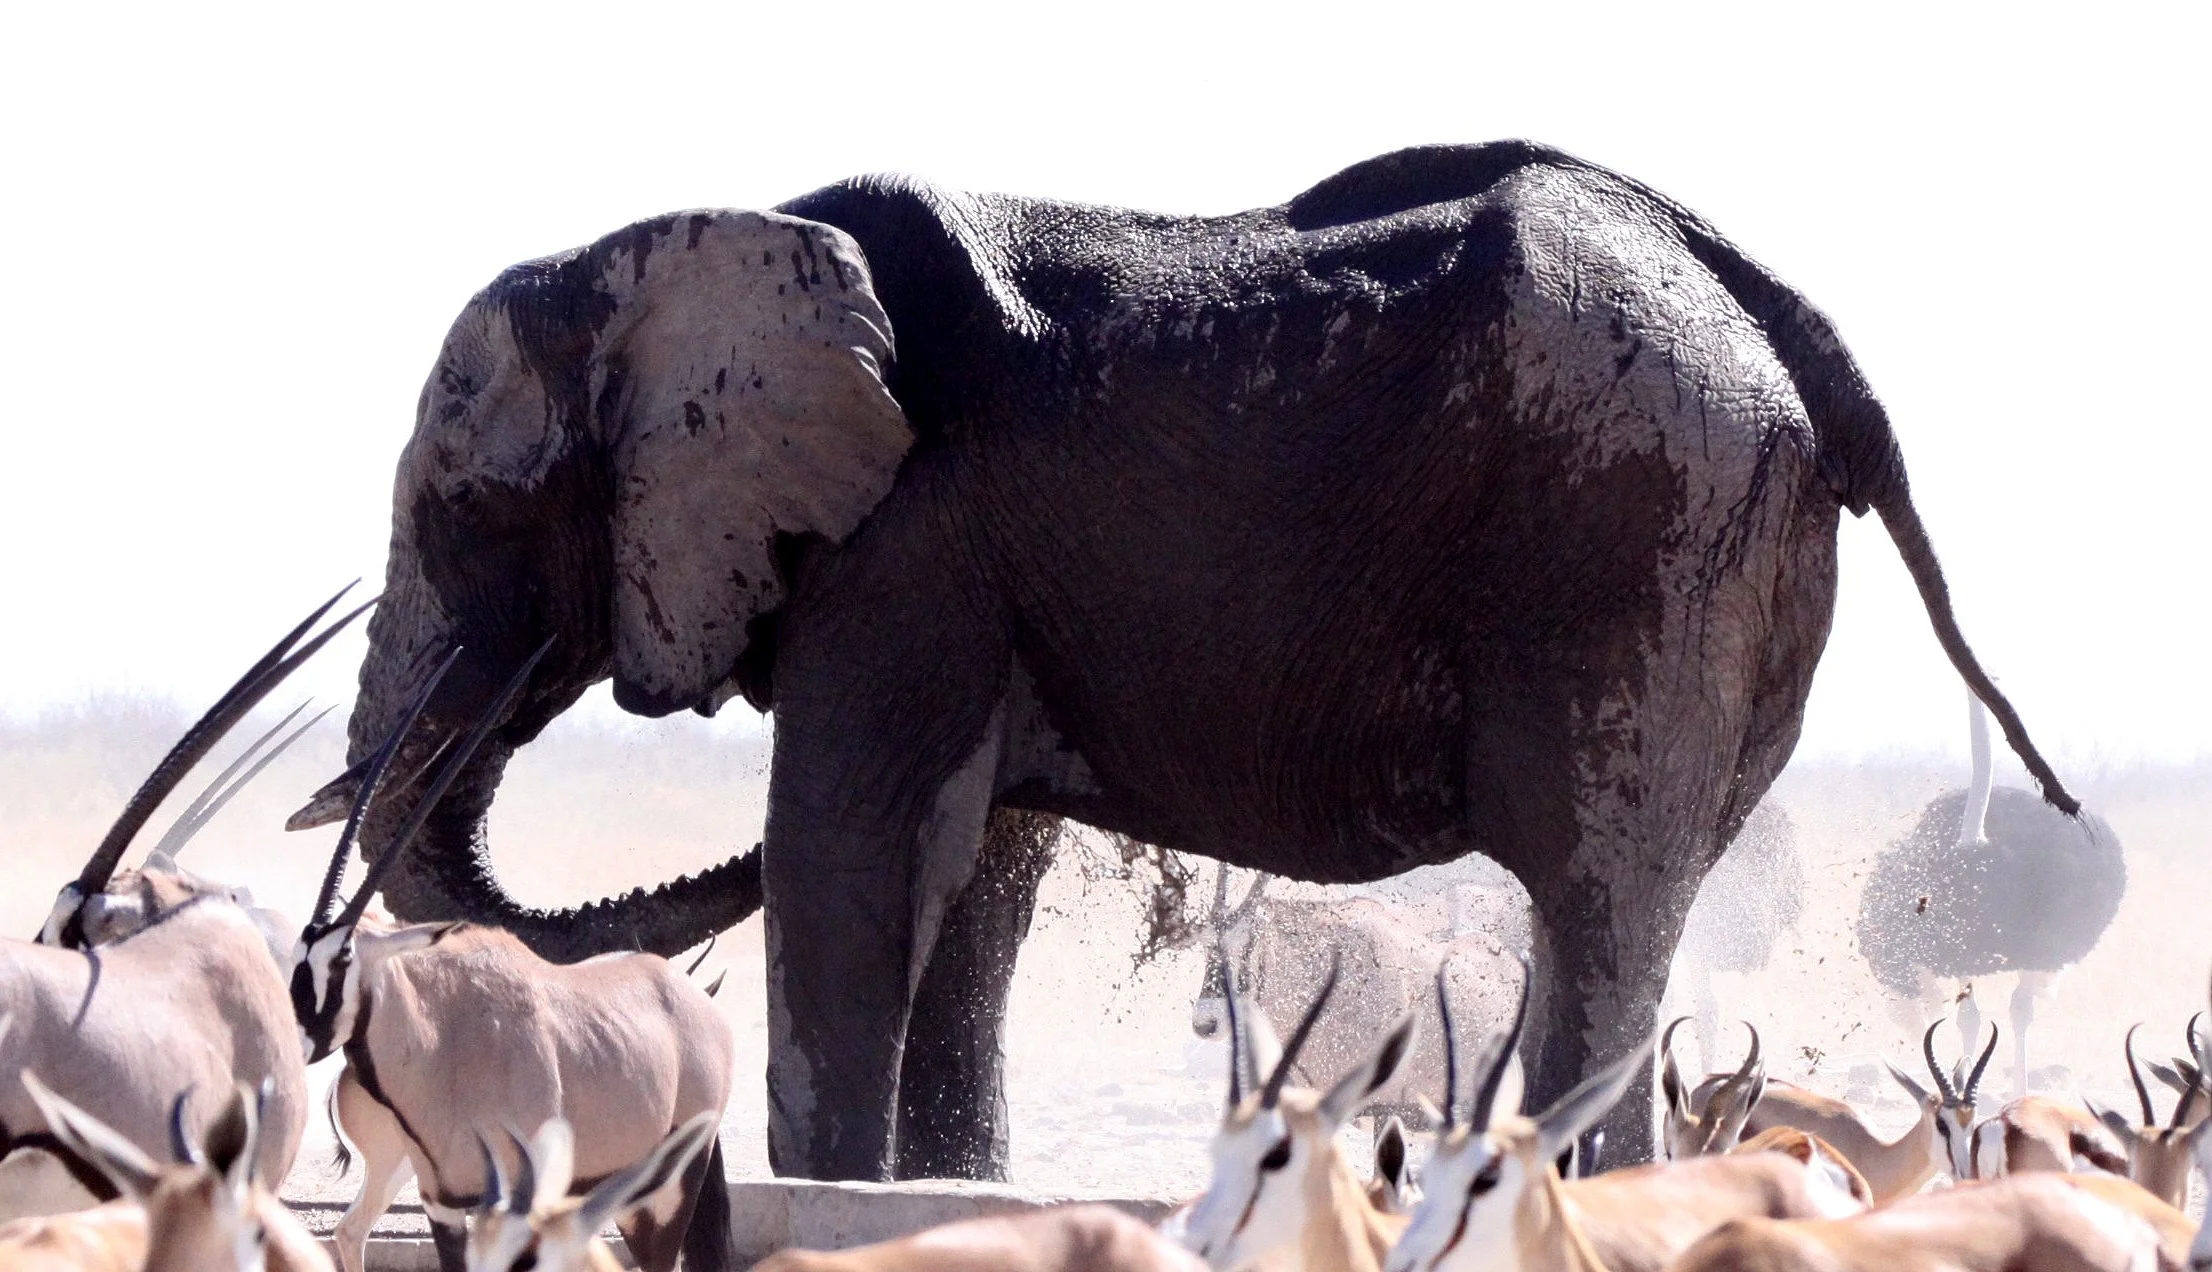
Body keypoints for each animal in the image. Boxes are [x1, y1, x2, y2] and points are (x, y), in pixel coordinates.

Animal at [289, 140, 2076, 1180]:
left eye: (468, 509)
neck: (684, 243)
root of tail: (1785, 316)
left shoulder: (907, 540)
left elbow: (851, 860)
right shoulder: (966, 573)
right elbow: (970, 886)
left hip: (1639, 529)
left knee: (1597, 906)